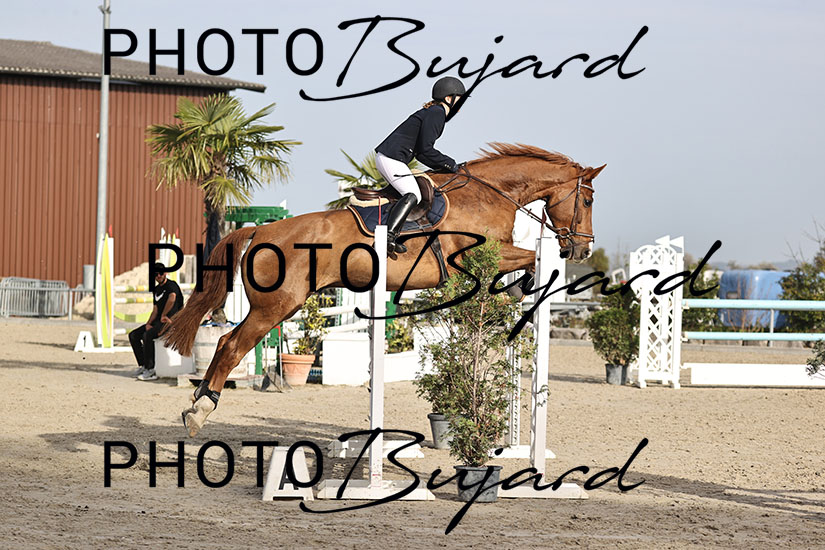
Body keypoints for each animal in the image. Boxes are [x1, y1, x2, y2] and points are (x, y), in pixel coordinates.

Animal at [163, 143, 605, 436]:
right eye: (586, 201)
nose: (581, 249)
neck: (486, 195)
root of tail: (260, 231)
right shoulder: (476, 257)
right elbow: (529, 257)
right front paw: (524, 285)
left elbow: (528, 259)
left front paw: (519, 288)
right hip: (275, 307)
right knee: (232, 346)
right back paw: (200, 411)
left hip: (281, 307)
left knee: (226, 342)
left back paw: (197, 403)